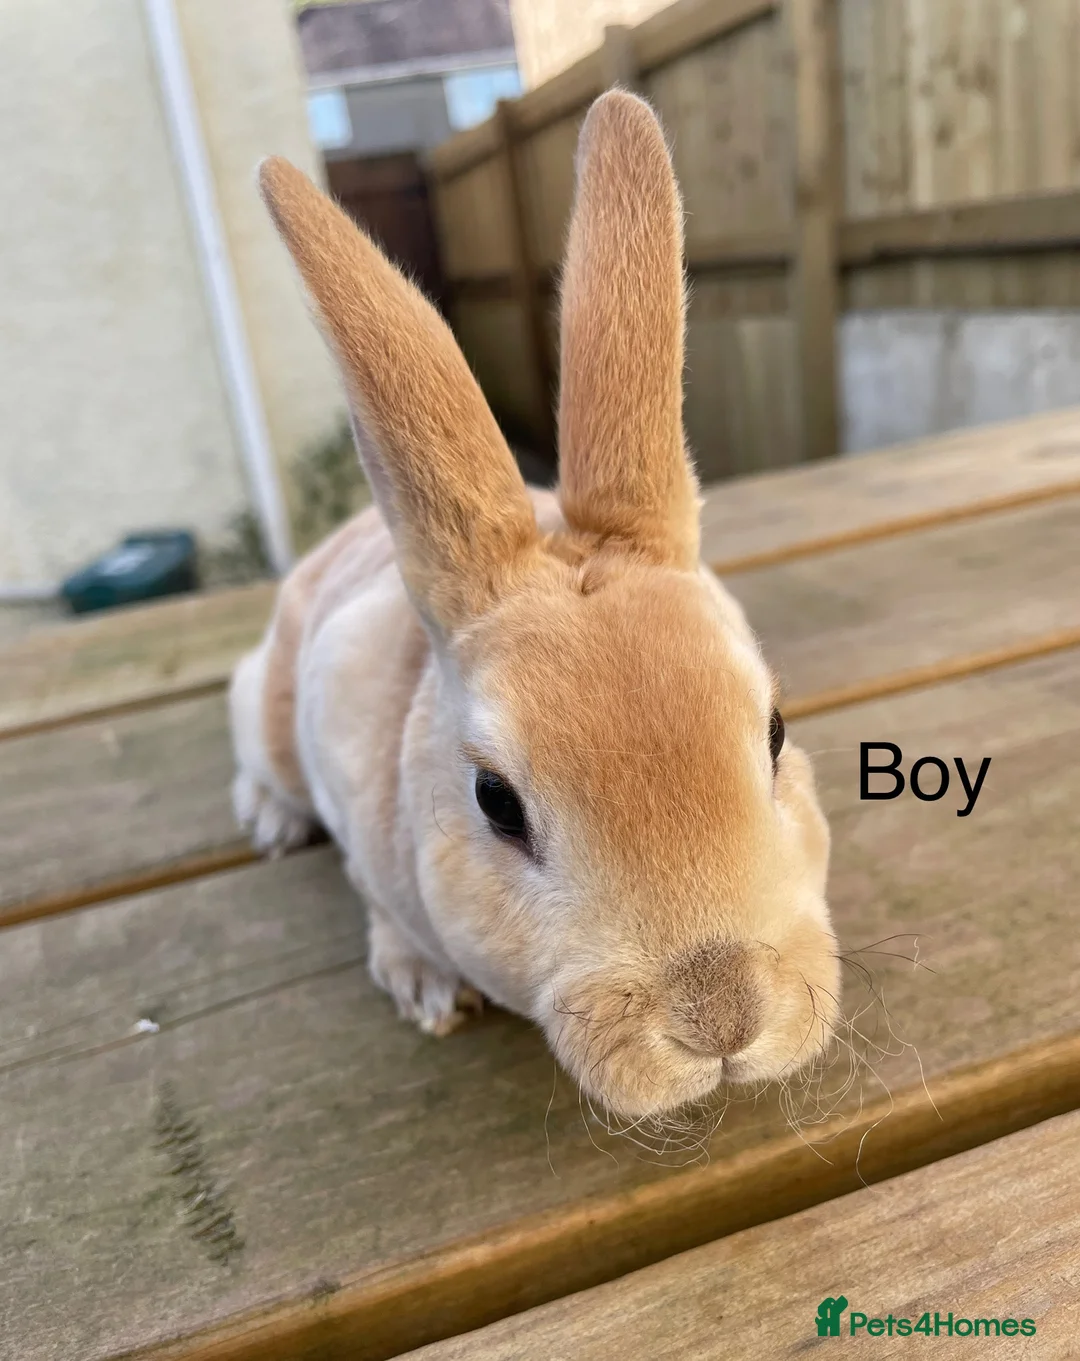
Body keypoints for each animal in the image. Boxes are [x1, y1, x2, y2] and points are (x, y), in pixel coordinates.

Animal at [229, 90, 840, 1121]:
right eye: (495, 803)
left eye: (776, 734)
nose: (721, 1021)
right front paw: (426, 988)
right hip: (269, 706)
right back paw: (272, 822)